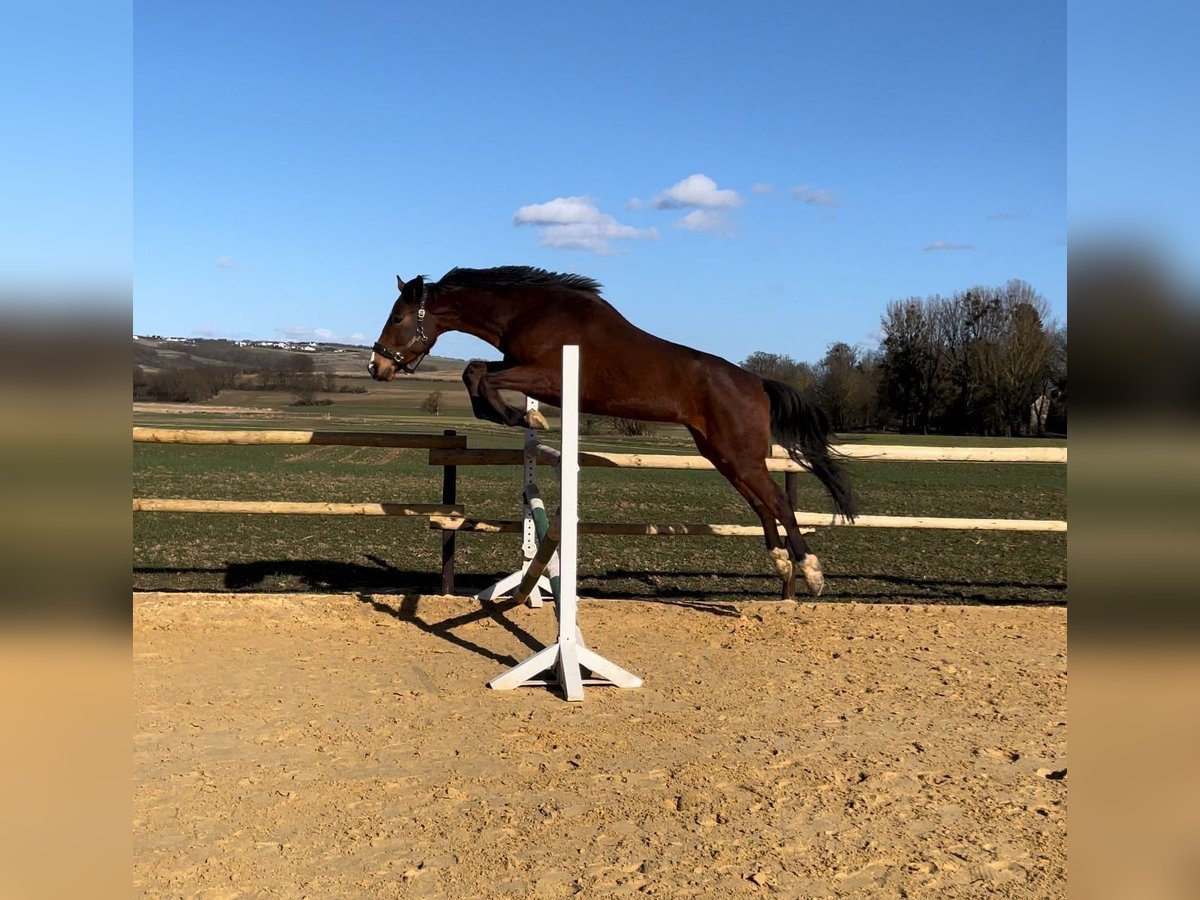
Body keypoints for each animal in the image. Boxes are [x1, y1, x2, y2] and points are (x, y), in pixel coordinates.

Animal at [369, 267, 859, 600]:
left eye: (398, 316)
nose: (377, 367)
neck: (528, 312)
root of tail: (756, 383)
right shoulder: (519, 367)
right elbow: (474, 372)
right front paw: (521, 419)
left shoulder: (546, 377)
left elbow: (479, 375)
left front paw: (526, 420)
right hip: (722, 454)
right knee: (761, 502)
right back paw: (781, 564)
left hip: (737, 453)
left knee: (776, 501)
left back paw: (810, 571)